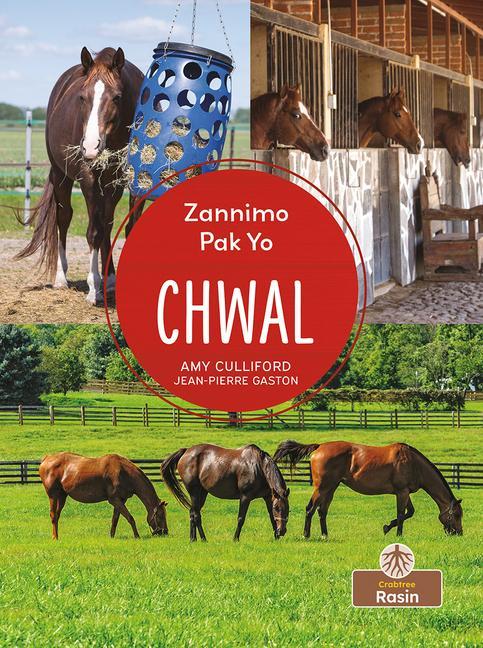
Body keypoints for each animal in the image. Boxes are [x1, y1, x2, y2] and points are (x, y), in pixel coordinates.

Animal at [16, 47, 144, 305]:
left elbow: (115, 227)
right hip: (61, 176)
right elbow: (93, 232)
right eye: (82, 97)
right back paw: (61, 278)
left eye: (116, 97)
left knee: (106, 222)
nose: (91, 147)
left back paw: (110, 280)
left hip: (108, 186)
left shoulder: (122, 181)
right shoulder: (88, 179)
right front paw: (94, 289)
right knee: (64, 218)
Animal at [39, 452, 168, 539]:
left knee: (57, 516)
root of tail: (47, 458)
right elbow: (130, 518)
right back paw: (55, 537)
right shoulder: (114, 499)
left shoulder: (121, 500)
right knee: (53, 515)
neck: (124, 472)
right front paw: (137, 536)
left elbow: (115, 520)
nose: (165, 532)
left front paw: (111, 536)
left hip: (62, 496)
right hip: (53, 496)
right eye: (160, 515)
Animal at [161, 444, 290, 541]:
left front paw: (276, 537)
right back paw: (203, 539)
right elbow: (241, 518)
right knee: (196, 515)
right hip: (195, 492)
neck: (258, 466)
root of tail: (186, 451)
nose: (282, 531)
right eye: (277, 508)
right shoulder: (245, 497)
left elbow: (271, 517)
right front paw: (235, 539)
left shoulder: (268, 497)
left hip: (202, 493)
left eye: (288, 508)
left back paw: (193, 539)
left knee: (192, 513)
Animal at [273, 440, 463, 539]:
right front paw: (397, 533)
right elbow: (402, 514)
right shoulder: (401, 492)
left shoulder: (404, 492)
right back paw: (306, 535)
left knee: (322, 511)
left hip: (331, 488)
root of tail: (319, 446)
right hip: (322, 487)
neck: (414, 463)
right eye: (457, 515)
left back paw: (325, 535)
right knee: (310, 509)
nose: (458, 533)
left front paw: (388, 527)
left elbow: (409, 512)